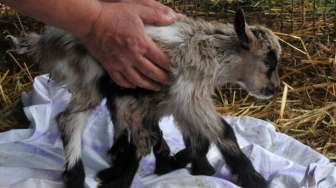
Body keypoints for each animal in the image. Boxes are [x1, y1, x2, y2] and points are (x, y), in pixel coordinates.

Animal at [9, 9, 280, 188]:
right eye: (268, 62)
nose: (274, 89)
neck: (212, 51)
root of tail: (47, 41)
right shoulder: (188, 95)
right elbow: (223, 132)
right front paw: (253, 178)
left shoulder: (175, 101)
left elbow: (196, 140)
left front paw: (192, 165)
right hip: (90, 79)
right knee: (69, 120)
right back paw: (78, 176)